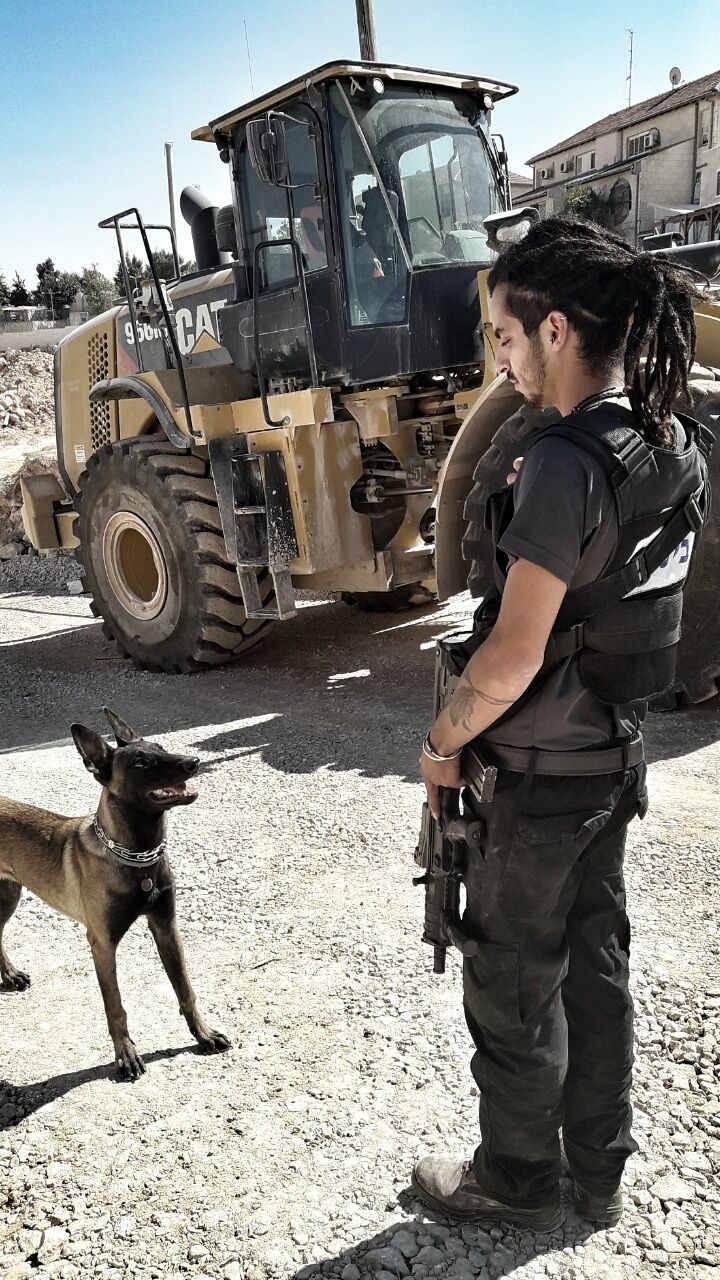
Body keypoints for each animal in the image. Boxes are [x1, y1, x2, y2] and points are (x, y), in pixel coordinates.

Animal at [0, 711, 228, 1080]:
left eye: (161, 747)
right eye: (140, 762)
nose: (193, 761)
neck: (137, 859)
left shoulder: (166, 928)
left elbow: (185, 989)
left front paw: (203, 1035)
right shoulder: (102, 944)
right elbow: (116, 1006)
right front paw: (126, 1055)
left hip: (9, 896)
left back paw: (10, 974)